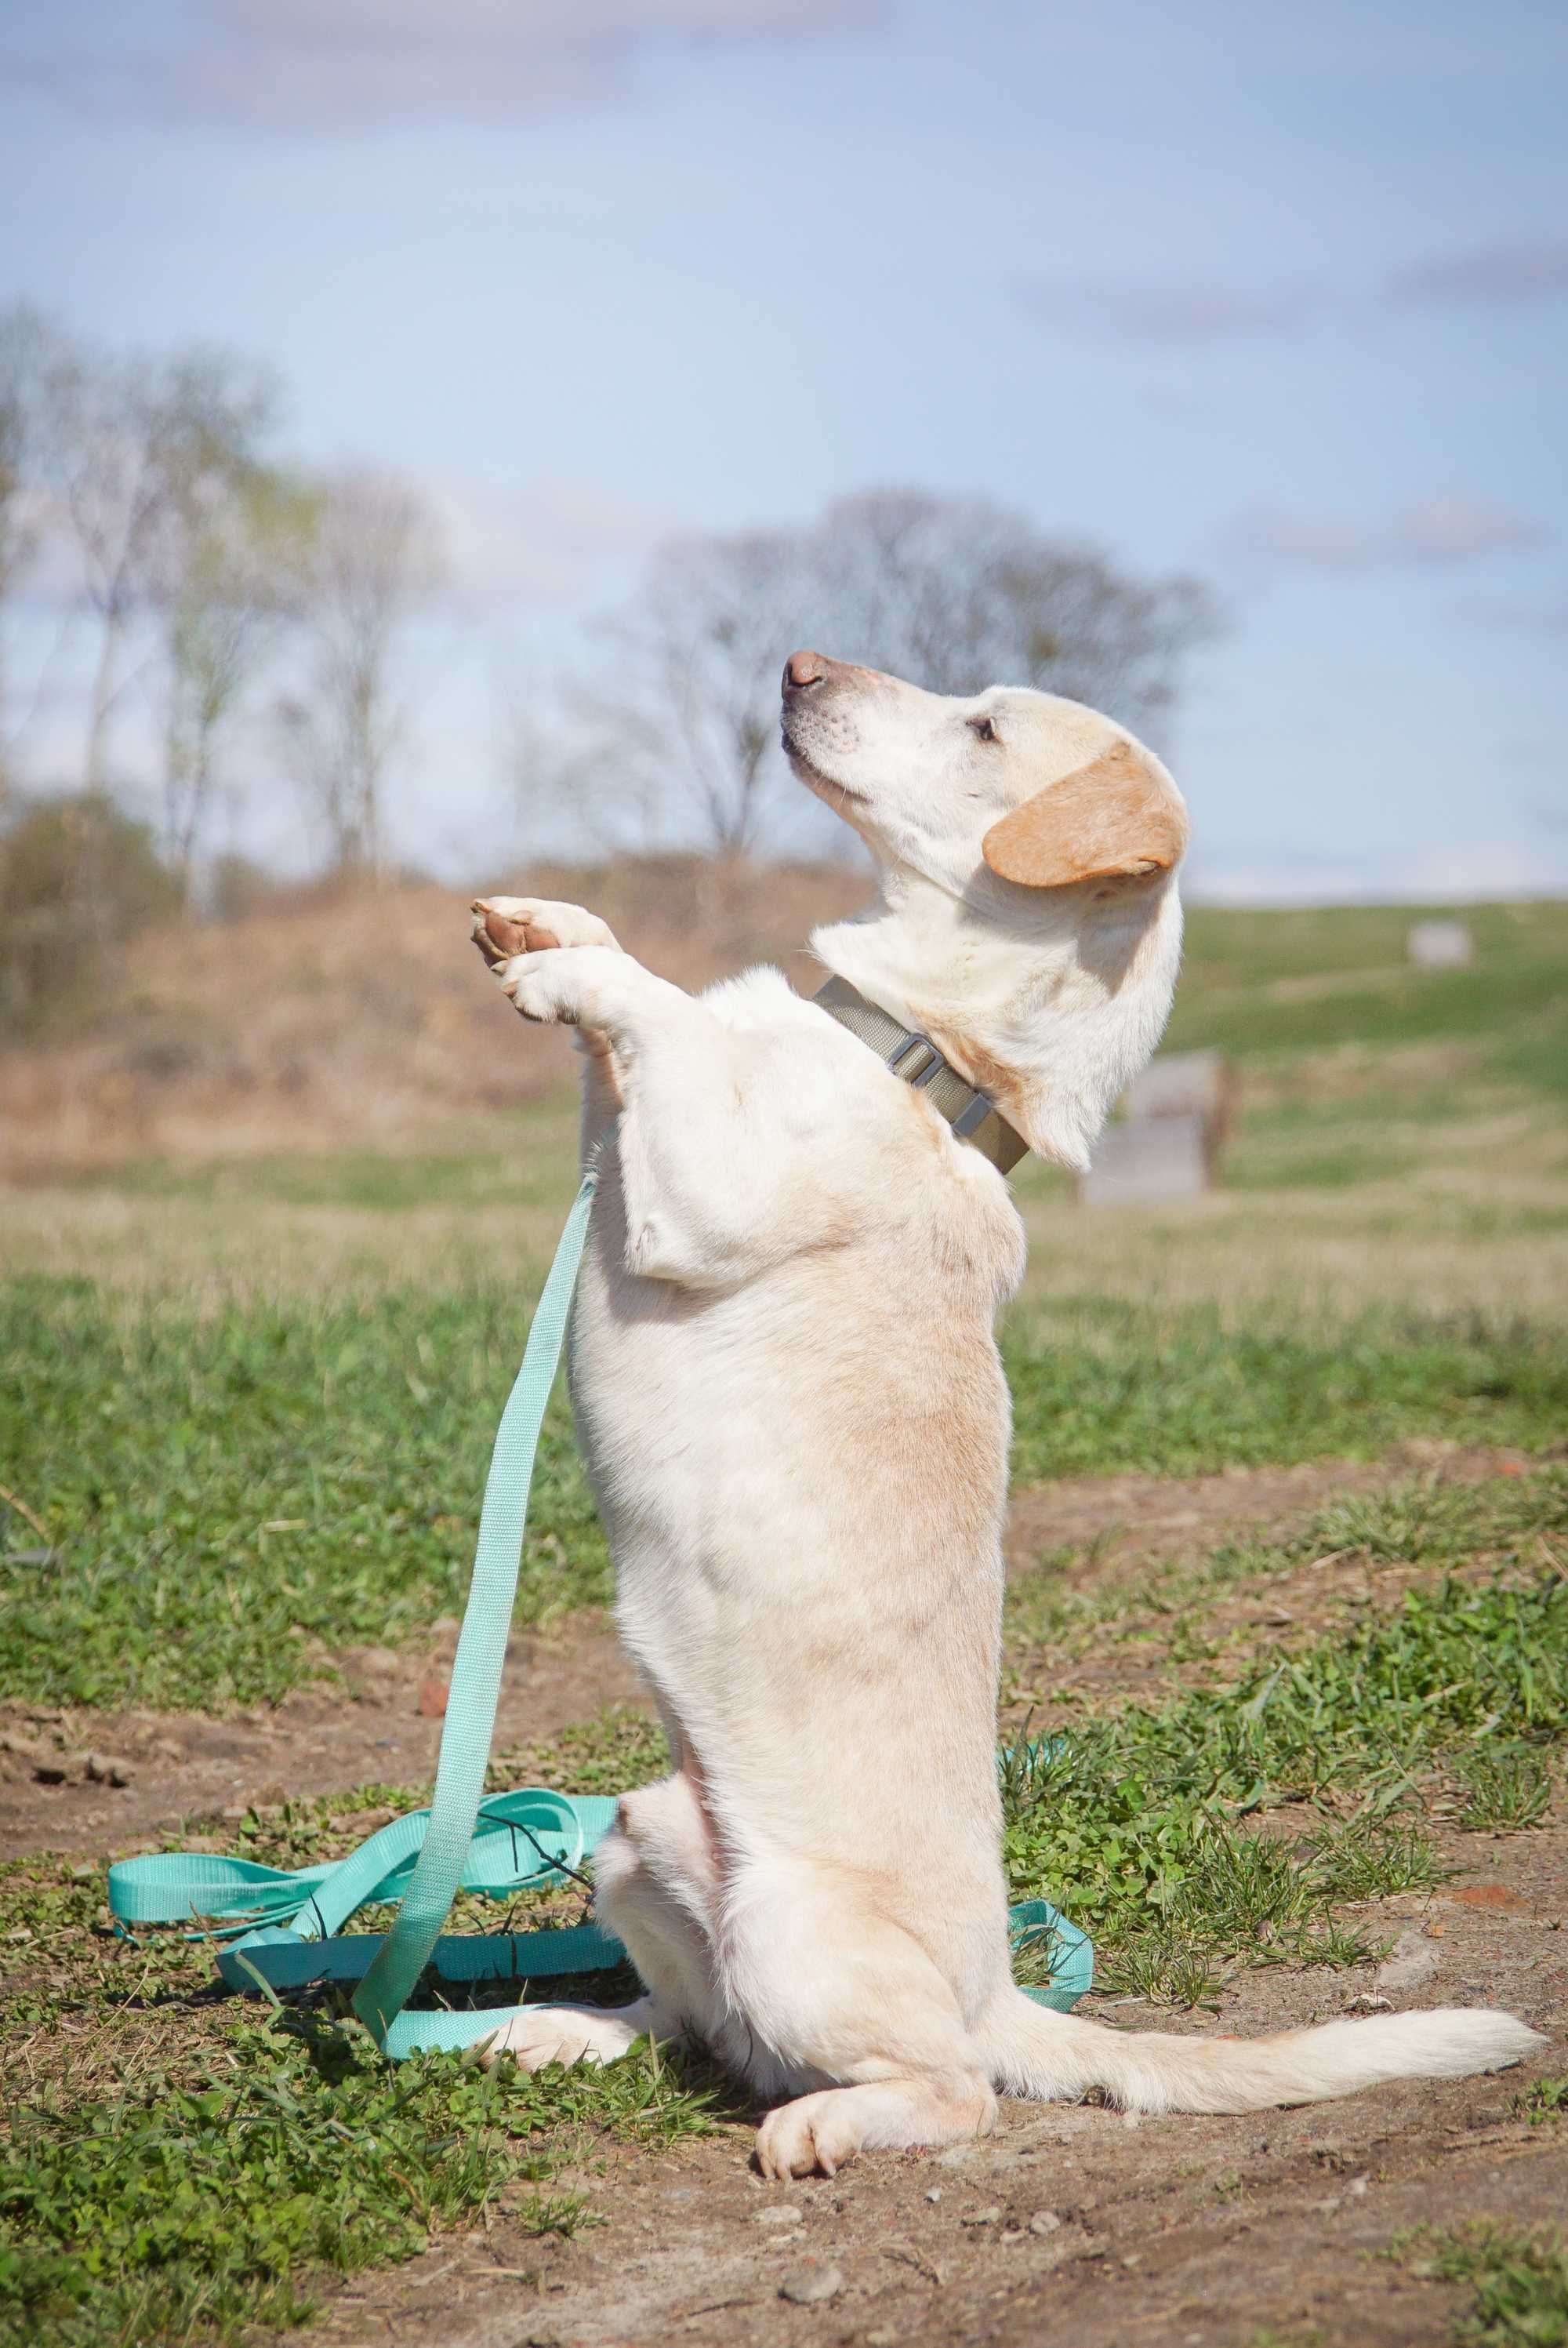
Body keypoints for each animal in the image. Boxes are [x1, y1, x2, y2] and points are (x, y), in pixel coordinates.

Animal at [469, 648, 1540, 2179]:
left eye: (982, 724)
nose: (795, 662)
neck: (924, 1053)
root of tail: (996, 1987)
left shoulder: (697, 1188)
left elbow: (656, 1009)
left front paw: (575, 963)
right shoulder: (624, 1153)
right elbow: (623, 1043)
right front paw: (549, 921)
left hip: (795, 1931)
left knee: (947, 2088)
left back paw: (819, 2126)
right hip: (638, 1831)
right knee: (688, 2024)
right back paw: (566, 2026)